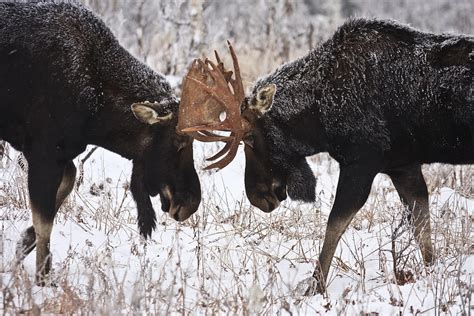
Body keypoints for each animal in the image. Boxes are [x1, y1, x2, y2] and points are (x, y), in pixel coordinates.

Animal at [0, 0, 200, 286]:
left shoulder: (62, 153)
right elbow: (45, 221)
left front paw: (23, 243)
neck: (96, 114)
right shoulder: (43, 151)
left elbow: (64, 189)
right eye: (180, 141)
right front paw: (43, 279)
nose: (192, 202)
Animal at [179, 18, 474, 292]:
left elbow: (334, 224)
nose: (258, 197)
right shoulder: (403, 165)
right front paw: (430, 276)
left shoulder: (361, 163)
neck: (318, 122)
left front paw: (315, 286)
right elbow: (422, 227)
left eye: (250, 138)